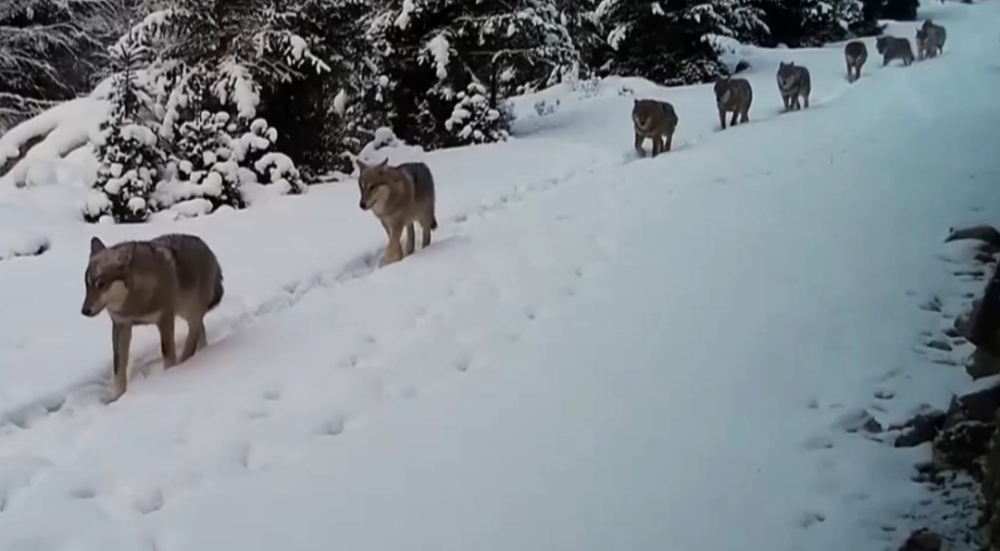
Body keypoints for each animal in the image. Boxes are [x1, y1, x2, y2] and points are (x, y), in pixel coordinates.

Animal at [80, 235, 225, 404]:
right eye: (87, 284)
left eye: (101, 284)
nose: (84, 311)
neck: (136, 298)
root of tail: (208, 249)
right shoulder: (121, 325)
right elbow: (118, 367)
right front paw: (116, 397)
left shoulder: (165, 319)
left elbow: (167, 354)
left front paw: (170, 376)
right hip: (185, 312)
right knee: (200, 329)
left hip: (188, 311)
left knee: (194, 332)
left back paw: (186, 360)